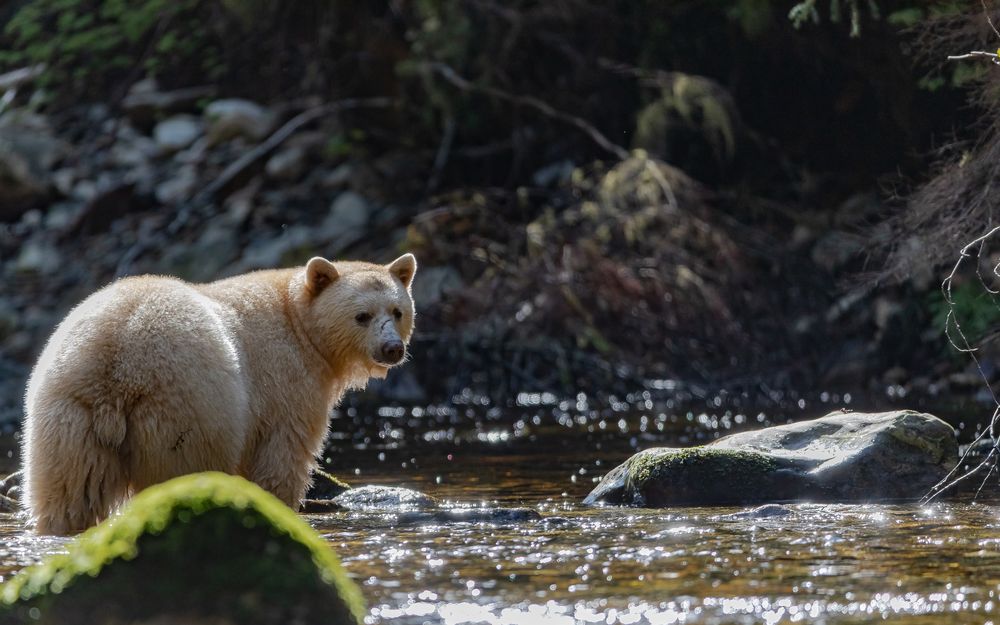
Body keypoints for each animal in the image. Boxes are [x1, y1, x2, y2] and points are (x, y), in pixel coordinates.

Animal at [21, 251, 418, 532]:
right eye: (362, 316)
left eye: (397, 311)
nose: (392, 349)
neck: (301, 326)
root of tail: (116, 364)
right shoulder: (285, 383)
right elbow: (281, 457)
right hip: (188, 406)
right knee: (180, 471)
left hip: (68, 415)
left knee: (70, 492)